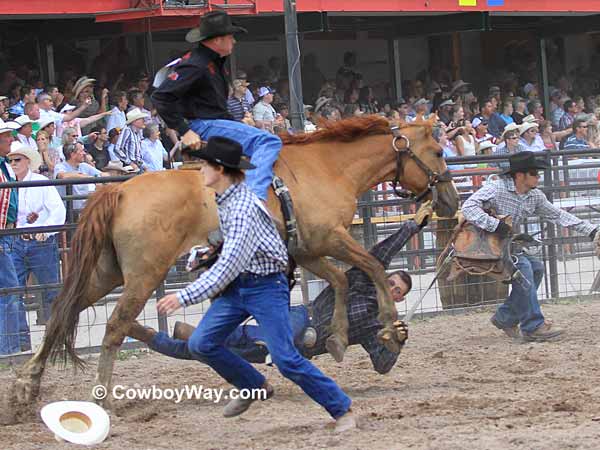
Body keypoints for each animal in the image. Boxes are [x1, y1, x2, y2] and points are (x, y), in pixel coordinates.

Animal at [14, 115, 458, 404]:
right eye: (438, 150)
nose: (450, 199)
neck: (327, 168)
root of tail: (120, 190)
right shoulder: (330, 238)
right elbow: (373, 267)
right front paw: (388, 328)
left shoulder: (307, 248)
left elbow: (341, 280)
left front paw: (334, 337)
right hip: (143, 275)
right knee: (114, 326)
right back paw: (103, 399)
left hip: (105, 274)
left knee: (63, 311)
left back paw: (29, 385)